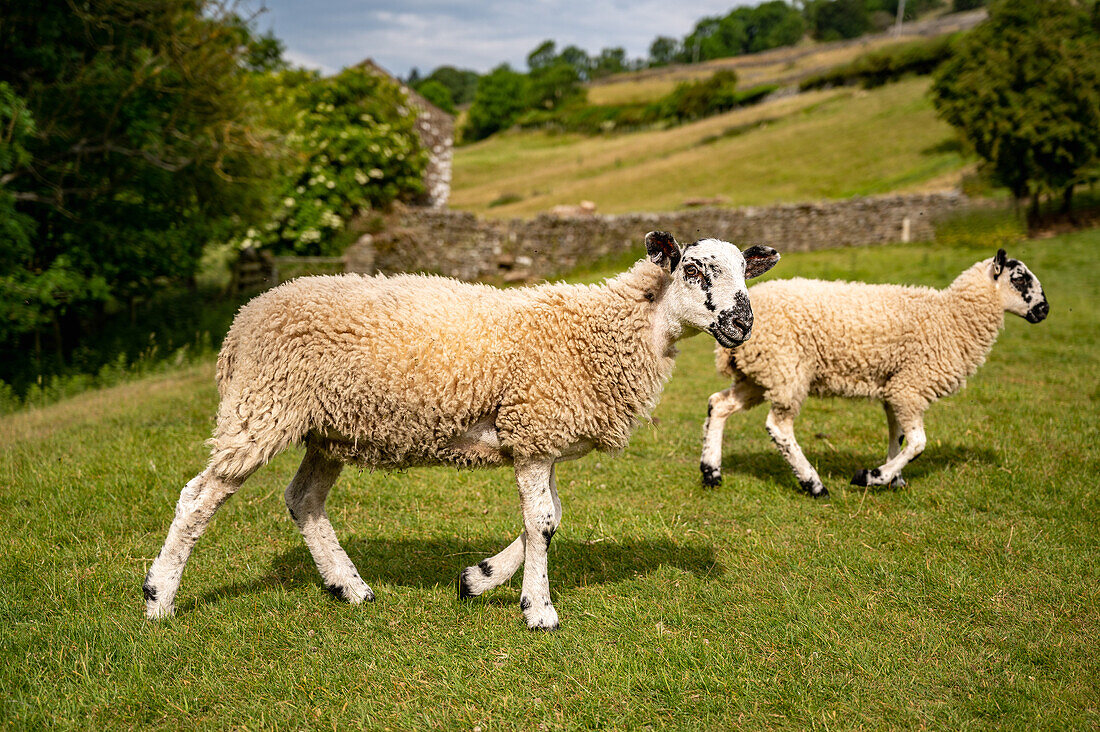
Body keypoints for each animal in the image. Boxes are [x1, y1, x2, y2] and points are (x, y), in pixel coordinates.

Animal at [146, 232, 783, 629]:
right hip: (263, 406)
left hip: (329, 430)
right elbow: (543, 522)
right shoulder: (534, 429)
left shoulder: (536, 439)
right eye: (694, 270)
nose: (742, 323)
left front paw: (478, 580)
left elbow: (546, 519)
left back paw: (349, 587)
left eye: (745, 272)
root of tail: (242, 322)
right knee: (198, 496)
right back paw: (158, 600)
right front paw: (538, 611)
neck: (608, 331)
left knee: (303, 500)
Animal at [699, 249, 1051, 497]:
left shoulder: (894, 386)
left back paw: (711, 472)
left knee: (719, 404)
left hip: (759, 373)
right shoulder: (911, 386)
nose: (1044, 310)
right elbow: (918, 443)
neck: (951, 317)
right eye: (1020, 278)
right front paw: (872, 477)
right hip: (787, 368)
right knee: (779, 427)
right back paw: (814, 484)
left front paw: (894, 478)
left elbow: (898, 435)